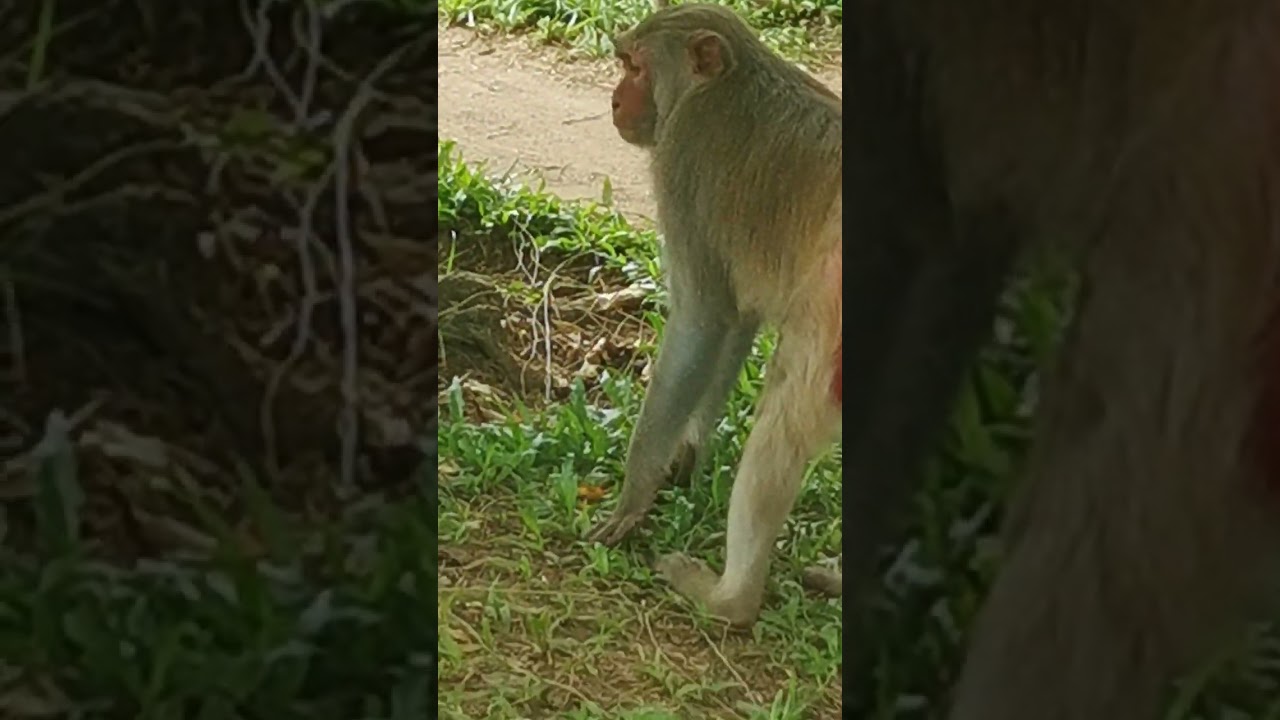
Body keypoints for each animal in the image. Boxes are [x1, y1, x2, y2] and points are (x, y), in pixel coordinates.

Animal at [585, 1, 845, 629]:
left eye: (634, 66)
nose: (615, 100)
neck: (720, 84)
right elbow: (734, 316)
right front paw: (688, 451)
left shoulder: (685, 154)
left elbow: (703, 318)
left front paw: (634, 497)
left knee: (784, 411)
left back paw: (730, 600)